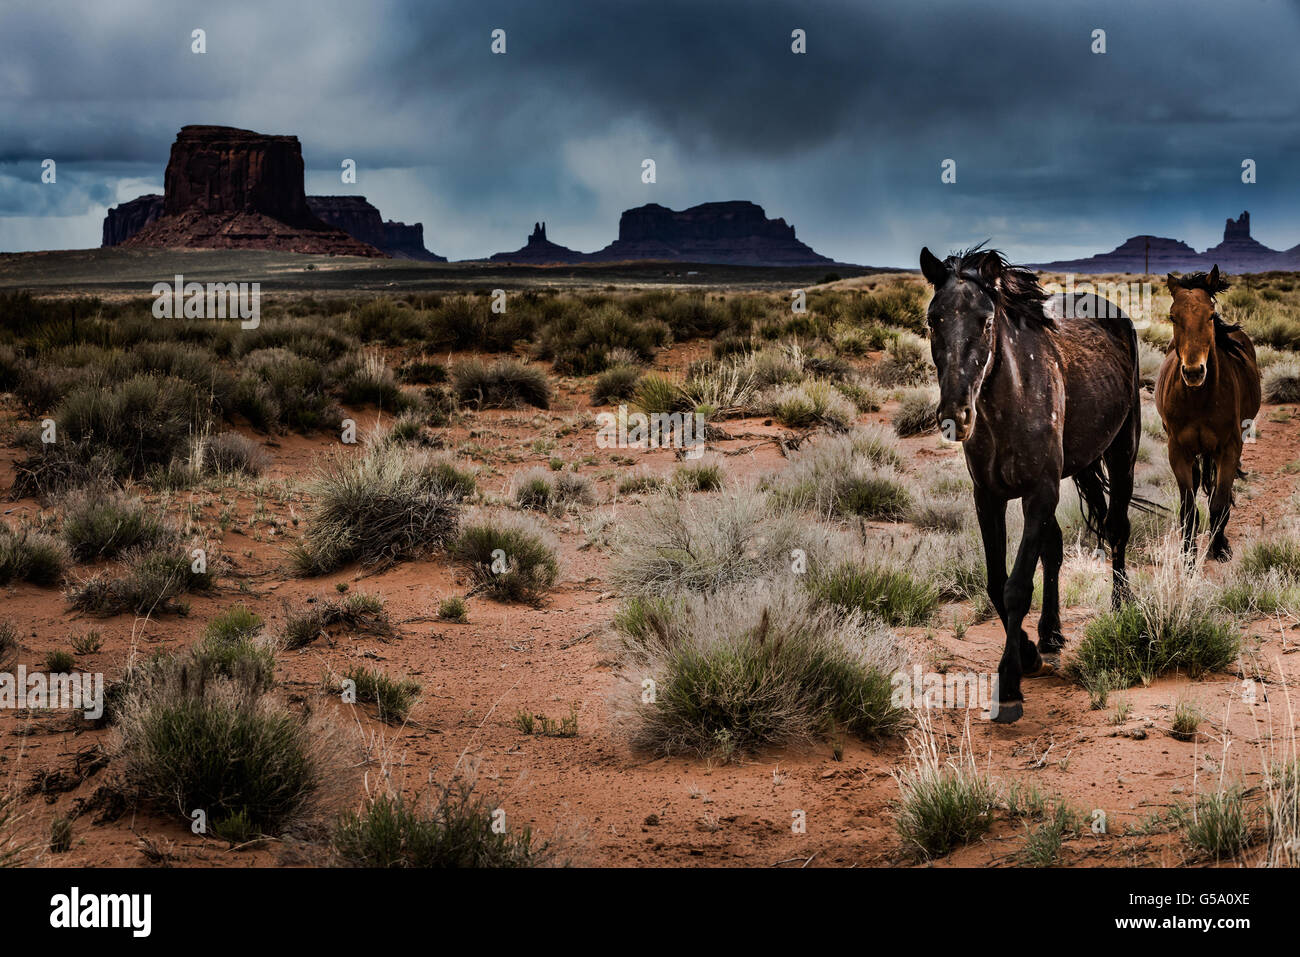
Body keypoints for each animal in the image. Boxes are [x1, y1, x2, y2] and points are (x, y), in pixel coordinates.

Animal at [920, 247, 1144, 722]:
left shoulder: (1040, 492)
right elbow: (996, 580)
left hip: (1121, 452)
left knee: (1117, 531)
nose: (955, 415)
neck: (1011, 399)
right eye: (933, 319)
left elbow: (1017, 586)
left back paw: (1121, 608)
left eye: (986, 320)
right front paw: (1027, 652)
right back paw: (1050, 633)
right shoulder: (990, 497)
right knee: (1055, 549)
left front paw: (1008, 684)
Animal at [1159, 265, 1258, 556]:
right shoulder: (1178, 451)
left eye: (1211, 315)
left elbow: (1219, 501)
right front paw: (1188, 553)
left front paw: (1219, 547)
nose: (1194, 372)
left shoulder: (1229, 448)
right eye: (1173, 316)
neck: (1199, 400)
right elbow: (1189, 508)